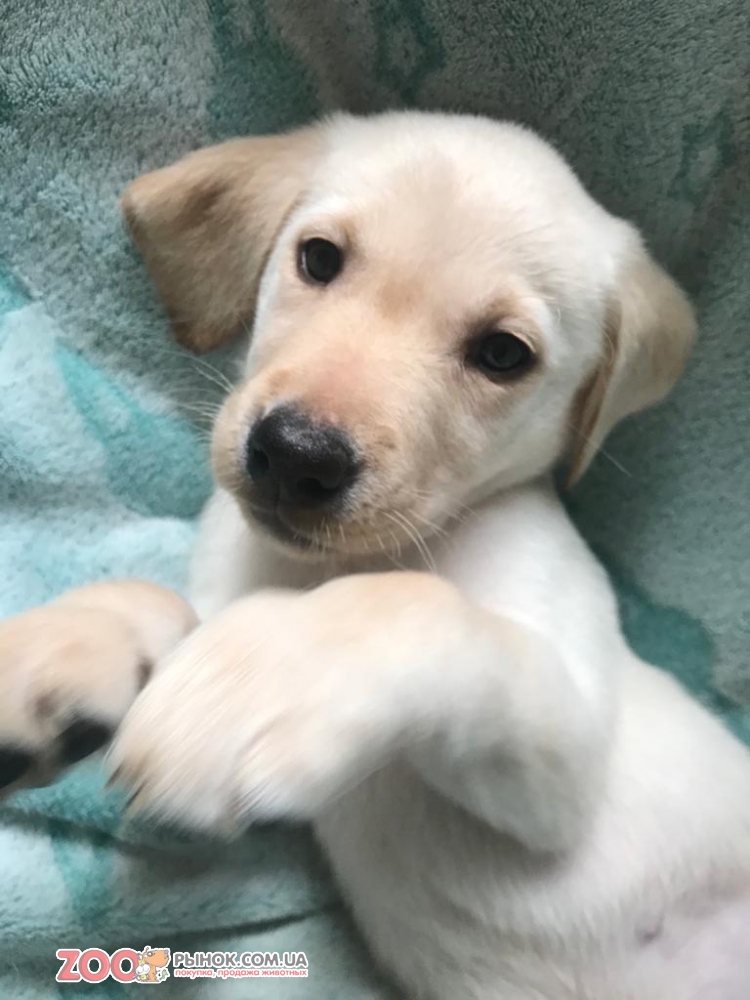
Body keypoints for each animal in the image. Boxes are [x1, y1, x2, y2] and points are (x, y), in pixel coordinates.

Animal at [0, 112, 748, 999]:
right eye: (319, 259)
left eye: (504, 354)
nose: (295, 456)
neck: (322, 568)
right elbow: (155, 601)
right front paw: (52, 654)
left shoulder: (569, 765)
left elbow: (419, 608)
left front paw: (254, 685)